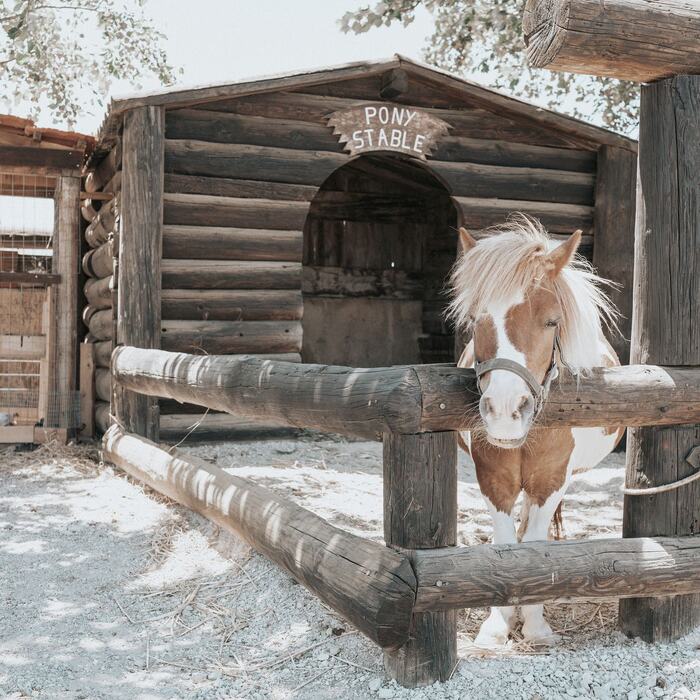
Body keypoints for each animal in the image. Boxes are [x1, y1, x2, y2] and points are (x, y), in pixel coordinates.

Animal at [448, 215, 623, 647]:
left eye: (551, 321)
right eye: (476, 321)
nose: (505, 412)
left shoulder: (551, 481)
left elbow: (535, 543)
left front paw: (535, 624)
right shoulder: (493, 479)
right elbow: (505, 543)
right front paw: (498, 624)